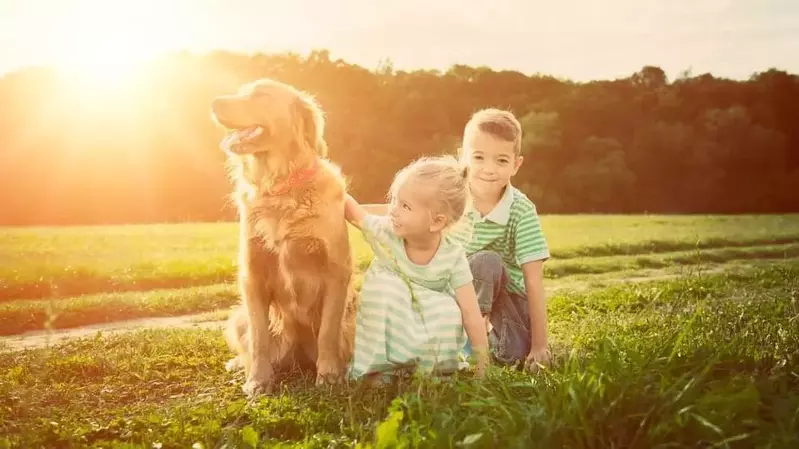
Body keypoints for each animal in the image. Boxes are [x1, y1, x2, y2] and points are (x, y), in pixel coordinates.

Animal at [214, 79, 360, 394]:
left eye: (261, 95)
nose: (214, 103)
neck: (280, 187)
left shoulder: (336, 271)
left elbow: (328, 331)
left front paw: (329, 375)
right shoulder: (252, 273)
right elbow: (259, 338)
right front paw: (258, 380)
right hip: (238, 317)